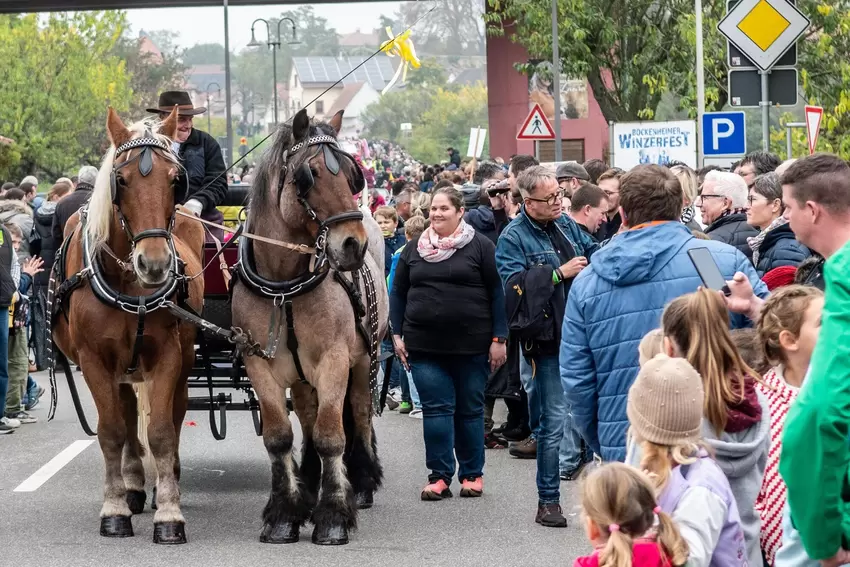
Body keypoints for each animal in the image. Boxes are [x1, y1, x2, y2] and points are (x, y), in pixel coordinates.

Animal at [50, 107, 205, 544]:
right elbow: (112, 432)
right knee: (125, 416)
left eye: (175, 179)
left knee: (172, 413)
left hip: (180, 364)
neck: (129, 285)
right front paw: (115, 508)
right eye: (121, 180)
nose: (153, 264)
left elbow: (162, 433)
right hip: (121, 368)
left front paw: (169, 513)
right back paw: (134, 486)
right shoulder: (94, 362)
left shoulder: (167, 356)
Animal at [232, 106, 390, 544]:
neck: (284, 285)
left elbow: (331, 436)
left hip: (364, 360)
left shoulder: (335, 360)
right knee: (306, 413)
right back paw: (310, 480)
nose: (352, 245)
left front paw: (334, 515)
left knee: (359, 413)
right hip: (302, 375)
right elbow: (279, 436)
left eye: (352, 175)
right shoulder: (259, 364)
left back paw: (363, 483)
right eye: (310, 174)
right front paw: (285, 513)